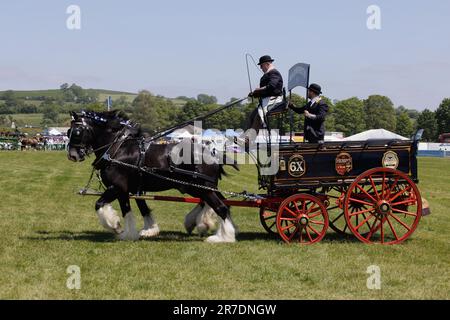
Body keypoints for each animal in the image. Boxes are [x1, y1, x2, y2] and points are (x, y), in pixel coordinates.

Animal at [67, 110, 239, 242]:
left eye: (77, 132)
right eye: (68, 132)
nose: (72, 155)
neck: (118, 149)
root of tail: (213, 152)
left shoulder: (117, 187)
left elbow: (100, 204)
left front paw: (115, 226)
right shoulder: (129, 190)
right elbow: (136, 209)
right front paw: (139, 232)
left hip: (203, 187)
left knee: (221, 207)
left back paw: (223, 237)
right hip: (198, 187)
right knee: (217, 203)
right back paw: (203, 224)